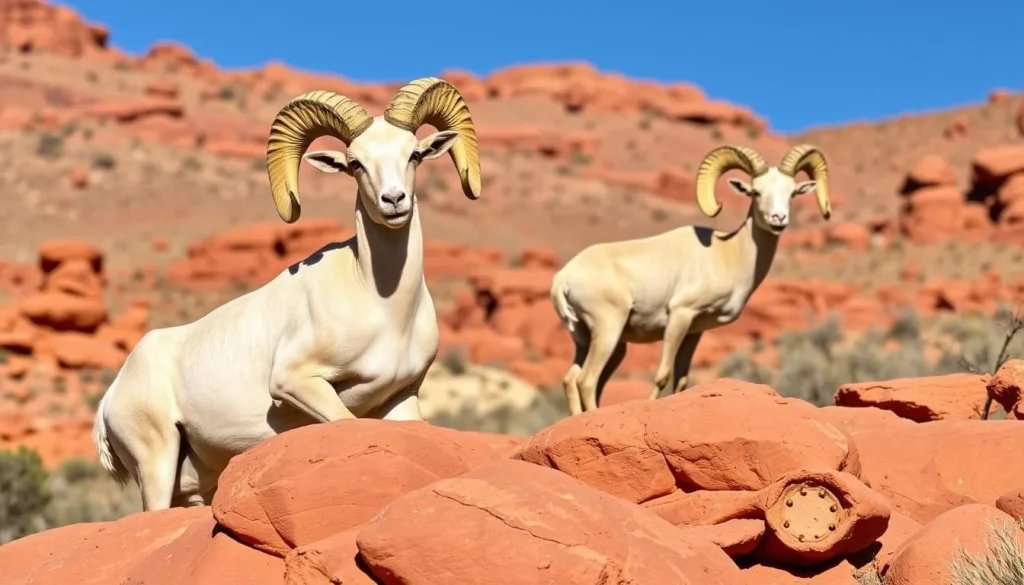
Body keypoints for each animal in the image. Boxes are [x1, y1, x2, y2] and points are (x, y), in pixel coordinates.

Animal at [91, 77, 482, 511]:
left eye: (414, 154)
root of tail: (111, 397)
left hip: (192, 486)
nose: (394, 201)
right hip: (156, 464)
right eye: (355, 163)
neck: (386, 309)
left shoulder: (400, 398)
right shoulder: (295, 383)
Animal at [550, 144, 831, 414]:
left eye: (792, 193)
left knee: (570, 380)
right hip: (608, 329)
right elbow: (662, 376)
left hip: (593, 340)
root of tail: (563, 278)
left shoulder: (694, 331)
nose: (778, 219)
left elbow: (682, 380)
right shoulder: (680, 315)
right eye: (755, 192)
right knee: (586, 381)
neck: (729, 254)